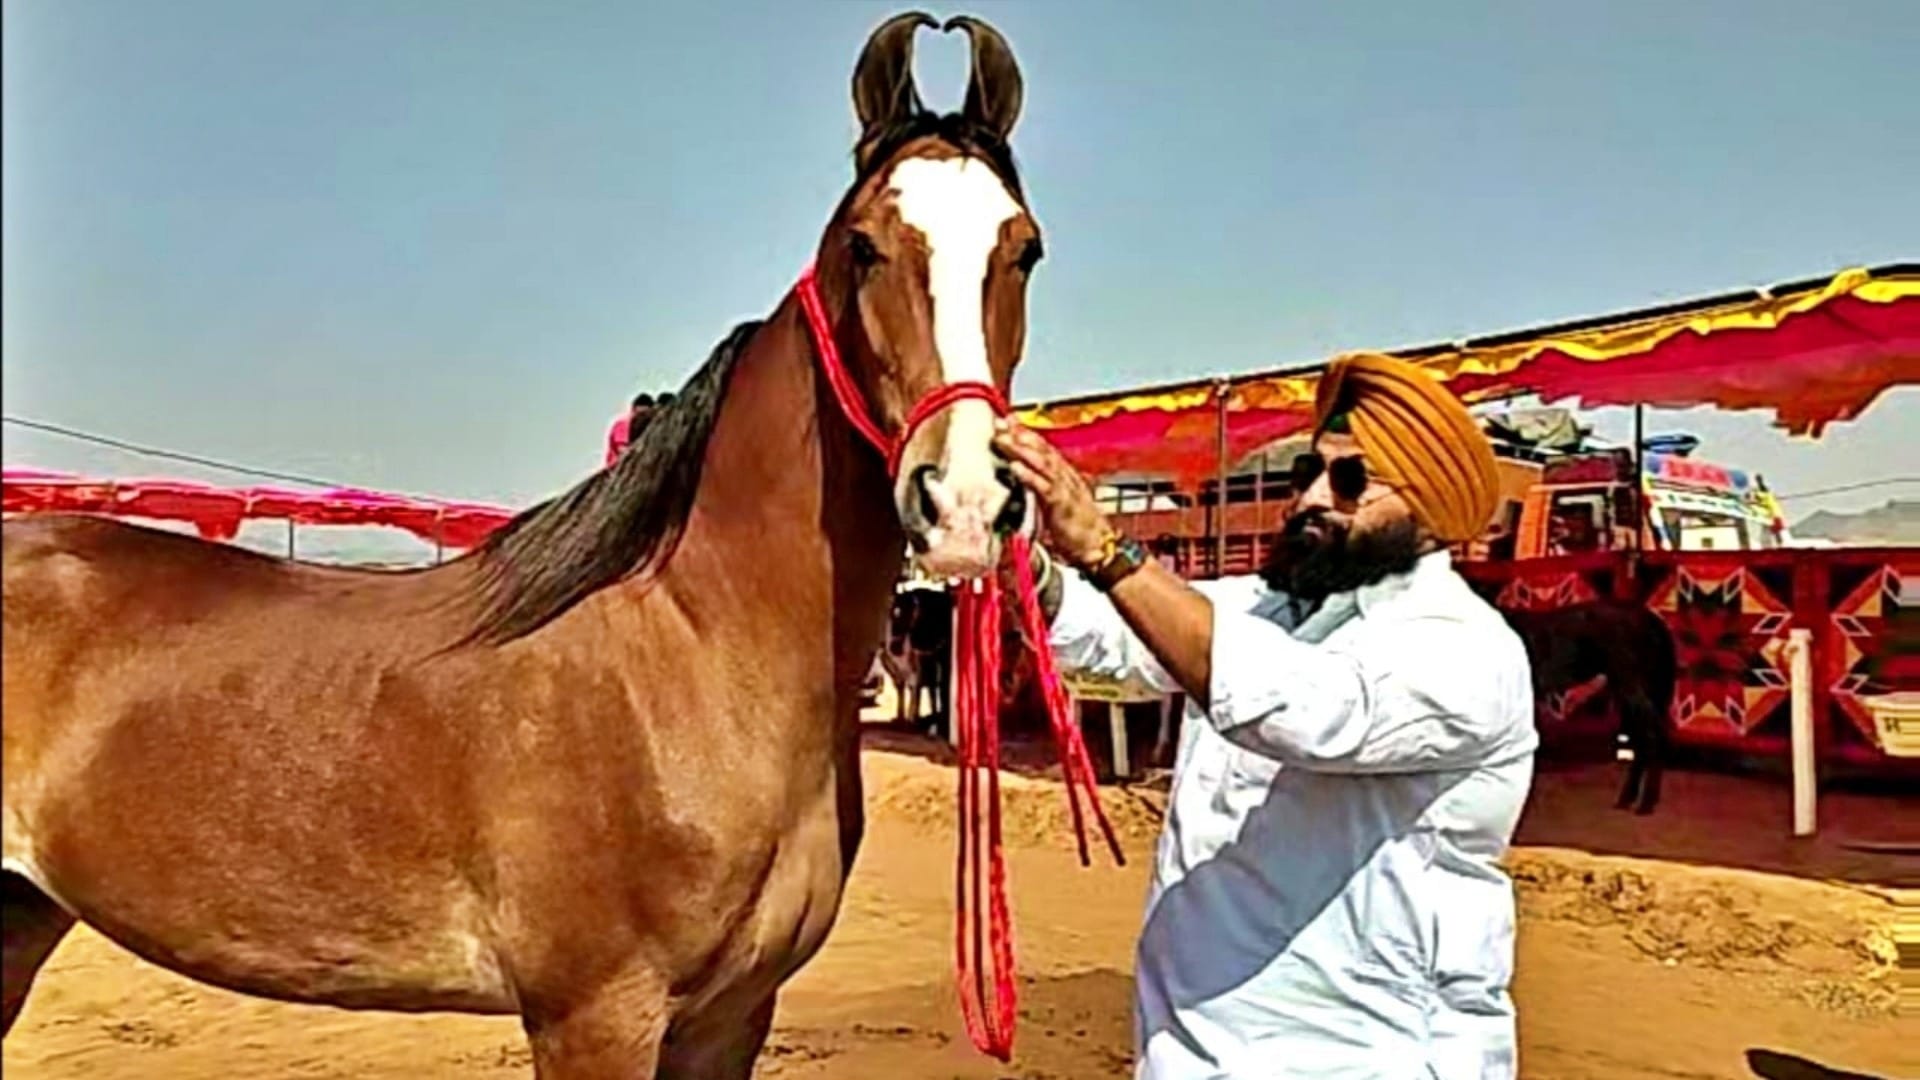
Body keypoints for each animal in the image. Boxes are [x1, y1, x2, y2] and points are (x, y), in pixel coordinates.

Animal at [1, 12, 1043, 1077]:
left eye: (1025, 250)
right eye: (867, 247)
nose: (964, 500)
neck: (696, 656)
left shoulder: (732, 1017)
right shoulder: (596, 1014)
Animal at [1501, 598, 1678, 814]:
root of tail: (1655, 623)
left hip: (1636, 690)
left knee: (1652, 738)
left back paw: (1644, 803)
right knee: (1641, 741)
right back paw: (1627, 799)